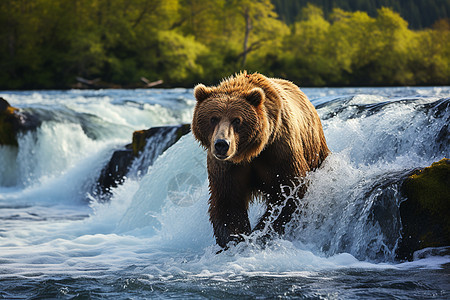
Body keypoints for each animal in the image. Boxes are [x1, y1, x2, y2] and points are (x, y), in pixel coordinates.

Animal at [192, 71, 328, 247]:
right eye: (213, 118)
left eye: (237, 120)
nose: (222, 144)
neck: (248, 153)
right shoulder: (226, 167)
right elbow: (228, 202)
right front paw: (235, 238)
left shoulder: (279, 152)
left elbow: (290, 191)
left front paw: (260, 233)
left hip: (315, 148)